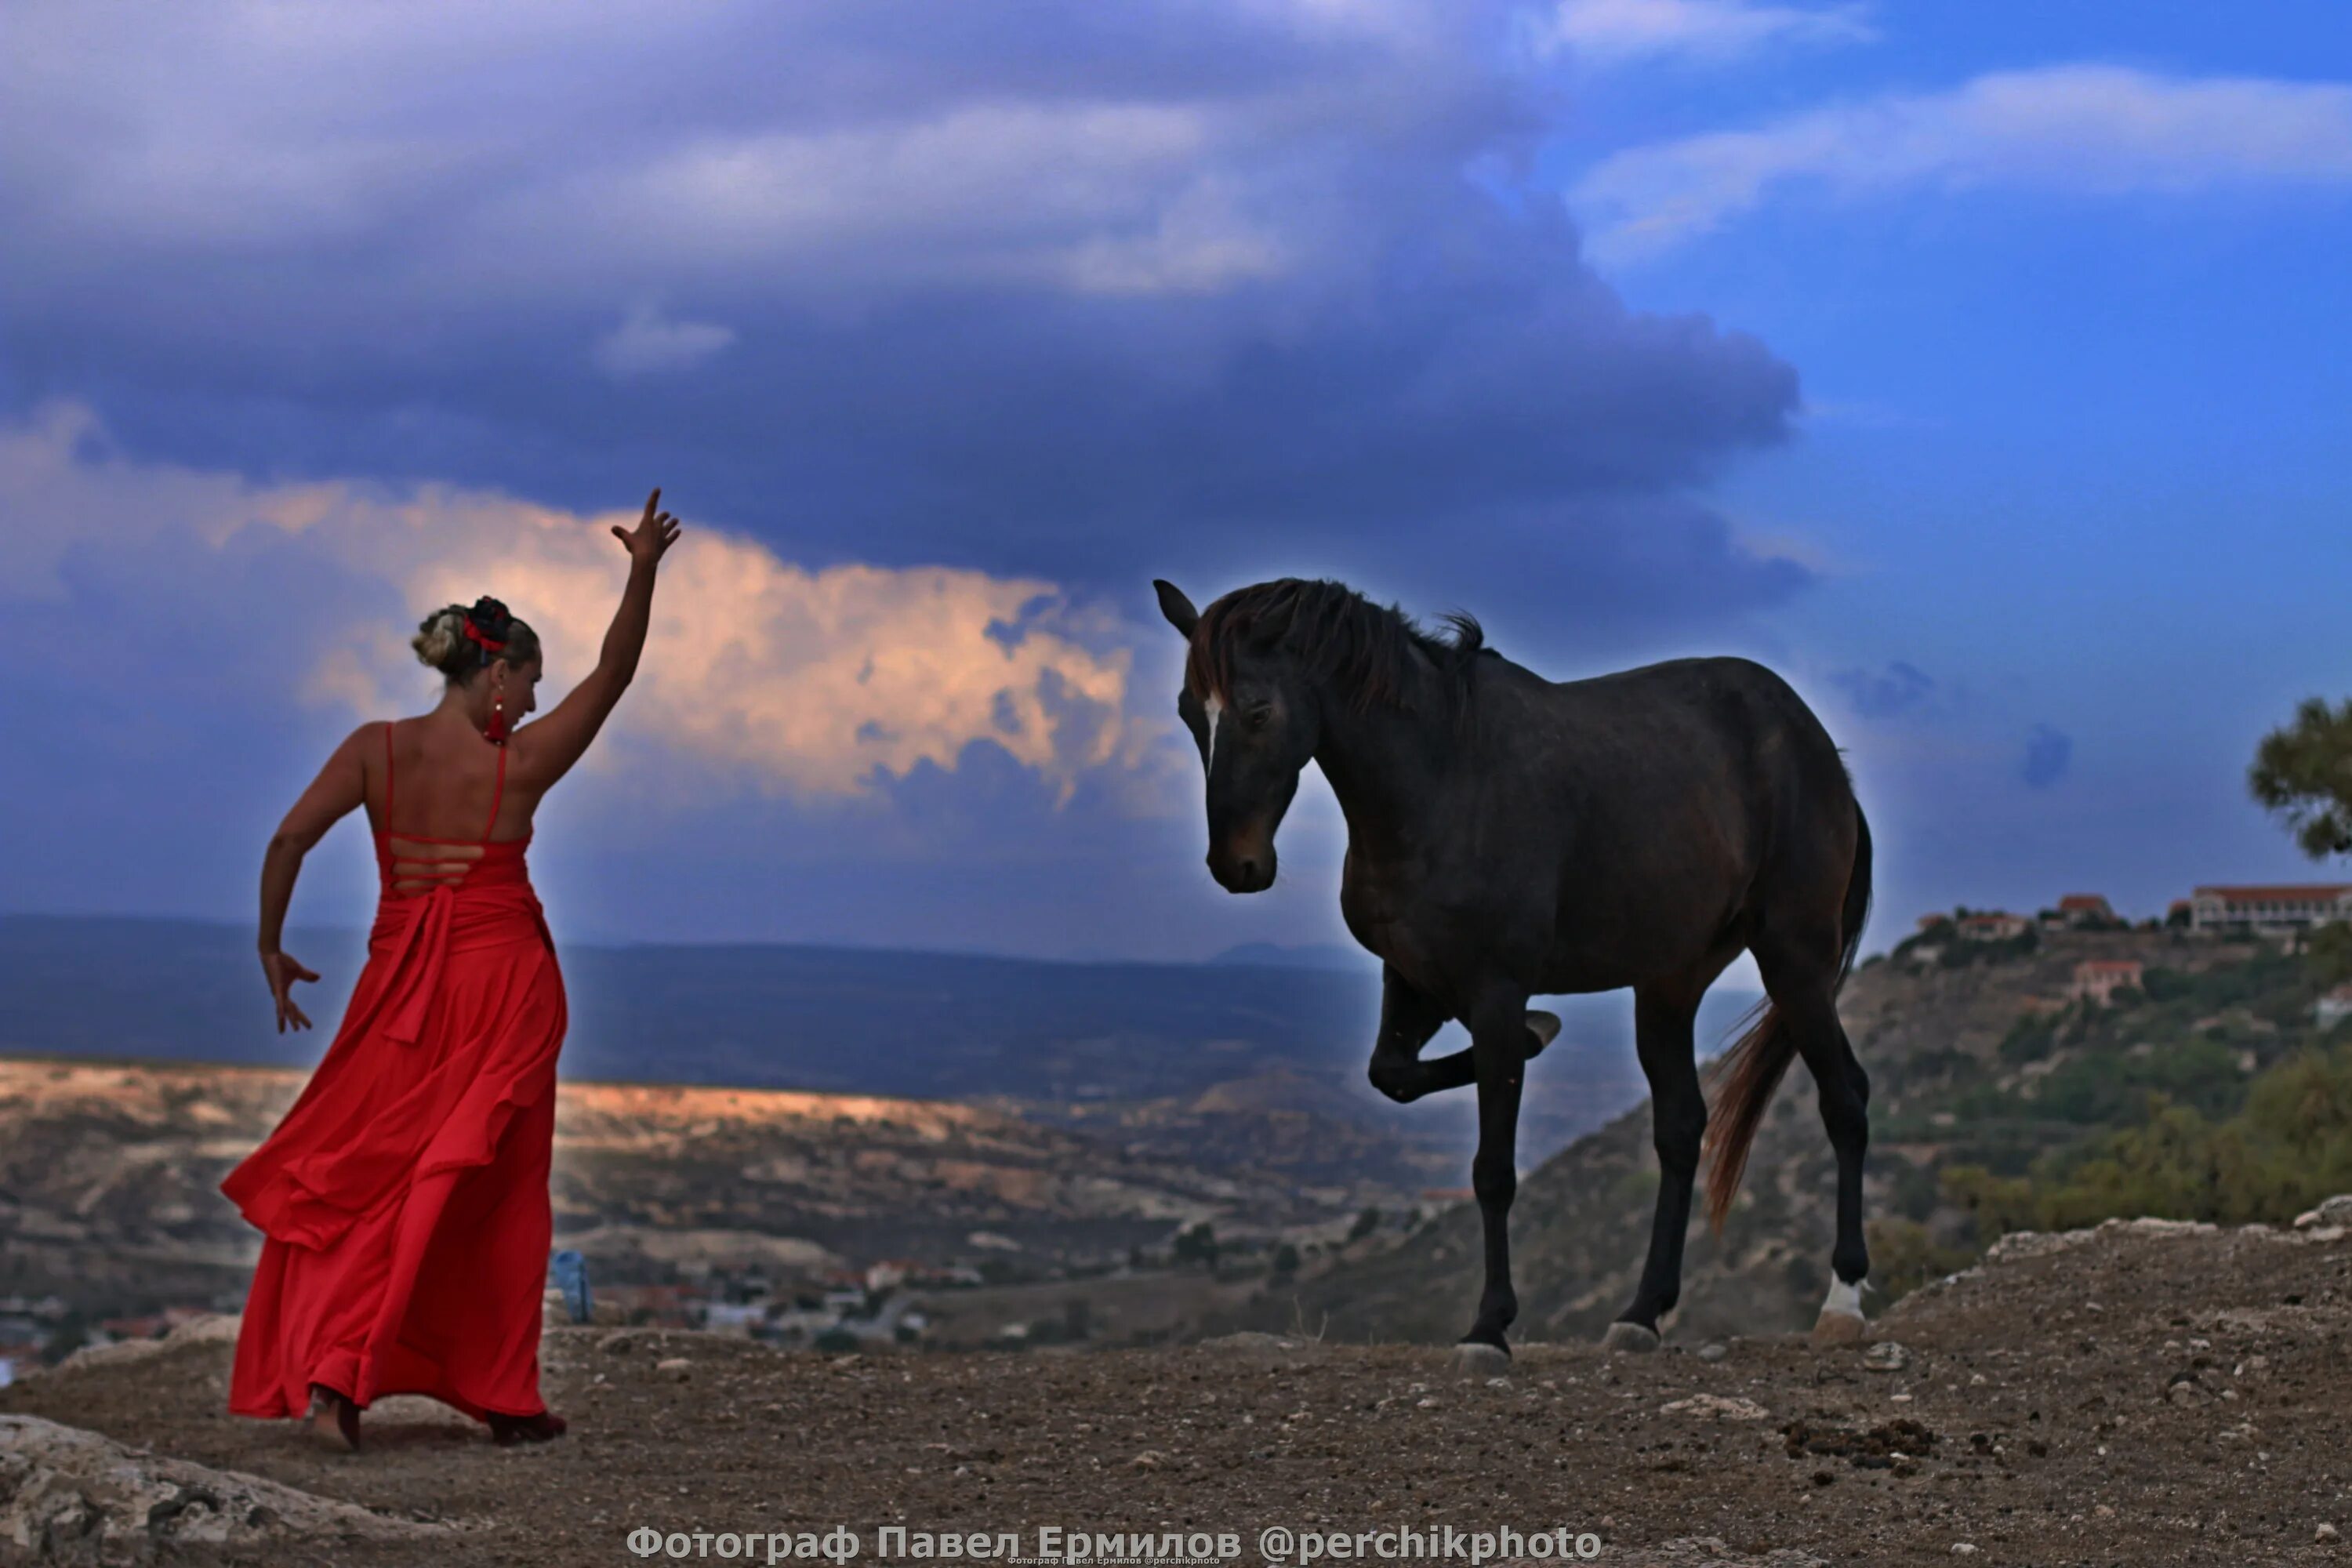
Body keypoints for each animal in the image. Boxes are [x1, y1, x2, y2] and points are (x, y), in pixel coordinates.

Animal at [1157, 575, 1872, 1363]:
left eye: (1257, 710)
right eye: (1190, 712)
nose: (1236, 865)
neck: (1442, 779)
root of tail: (1822, 755)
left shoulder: (1493, 991)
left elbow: (1493, 1171)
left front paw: (1488, 1328)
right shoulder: (1412, 981)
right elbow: (1393, 1076)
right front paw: (1542, 1031)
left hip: (1794, 961)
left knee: (1846, 1100)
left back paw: (1844, 1300)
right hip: (1669, 982)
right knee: (1682, 1128)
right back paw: (1642, 1312)